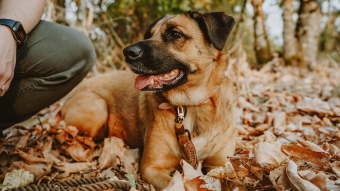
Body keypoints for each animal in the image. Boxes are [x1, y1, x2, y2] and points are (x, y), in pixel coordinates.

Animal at [61, 11, 236, 190]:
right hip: (98, 109)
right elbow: (181, 186)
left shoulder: (222, 166)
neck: (191, 104)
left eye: (175, 34)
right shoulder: (152, 167)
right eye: (148, 35)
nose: (127, 52)